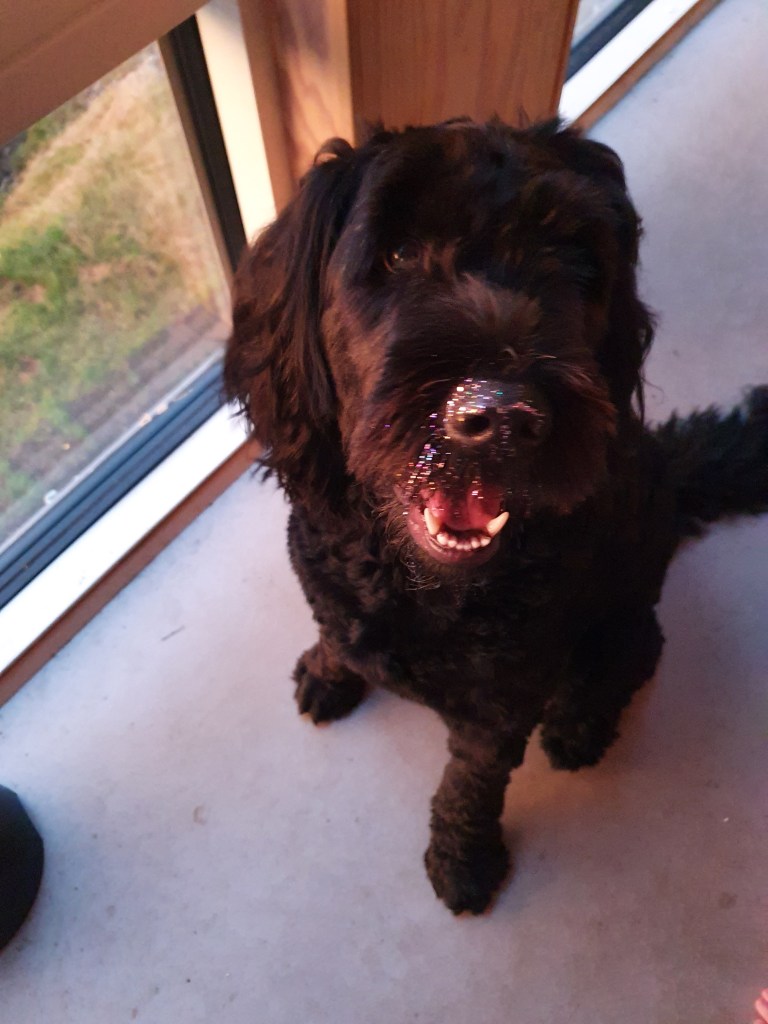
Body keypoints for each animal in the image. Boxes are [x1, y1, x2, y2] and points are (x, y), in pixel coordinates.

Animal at [224, 118, 768, 915]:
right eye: (396, 253)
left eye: (577, 262)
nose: (502, 415)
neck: (408, 583)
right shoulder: (328, 589)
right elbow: (334, 631)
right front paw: (330, 669)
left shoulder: (500, 704)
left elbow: (470, 785)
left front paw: (463, 857)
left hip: (621, 610)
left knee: (639, 647)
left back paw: (581, 720)